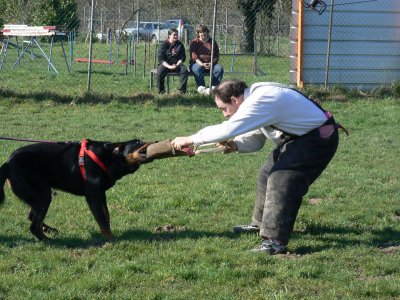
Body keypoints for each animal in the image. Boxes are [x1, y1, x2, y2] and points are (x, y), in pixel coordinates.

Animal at [0, 139, 152, 241]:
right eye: (138, 142)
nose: (155, 141)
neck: (109, 158)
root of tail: (7, 163)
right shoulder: (93, 196)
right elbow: (102, 220)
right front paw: (110, 239)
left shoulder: (101, 195)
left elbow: (106, 215)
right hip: (42, 195)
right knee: (33, 225)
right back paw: (50, 240)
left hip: (40, 195)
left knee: (33, 217)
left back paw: (49, 230)